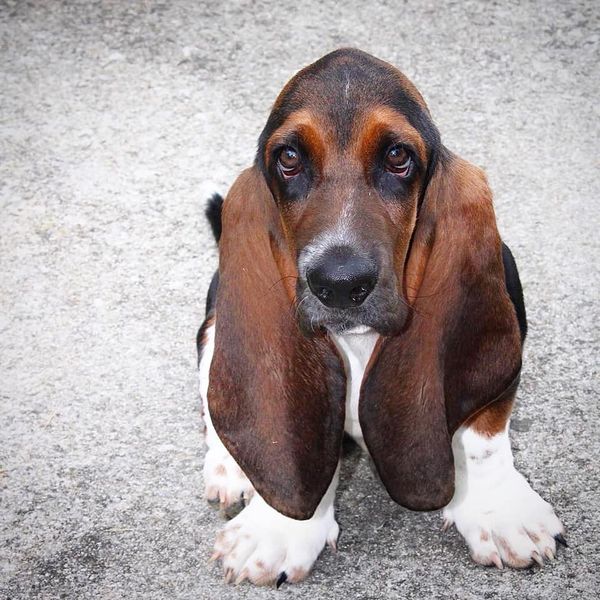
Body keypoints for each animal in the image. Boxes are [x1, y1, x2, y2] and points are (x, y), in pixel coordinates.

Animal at [198, 49, 568, 588]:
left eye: (398, 157)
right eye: (289, 159)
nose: (339, 282)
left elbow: (483, 433)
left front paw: (499, 512)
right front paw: (279, 528)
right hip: (212, 322)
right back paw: (229, 469)